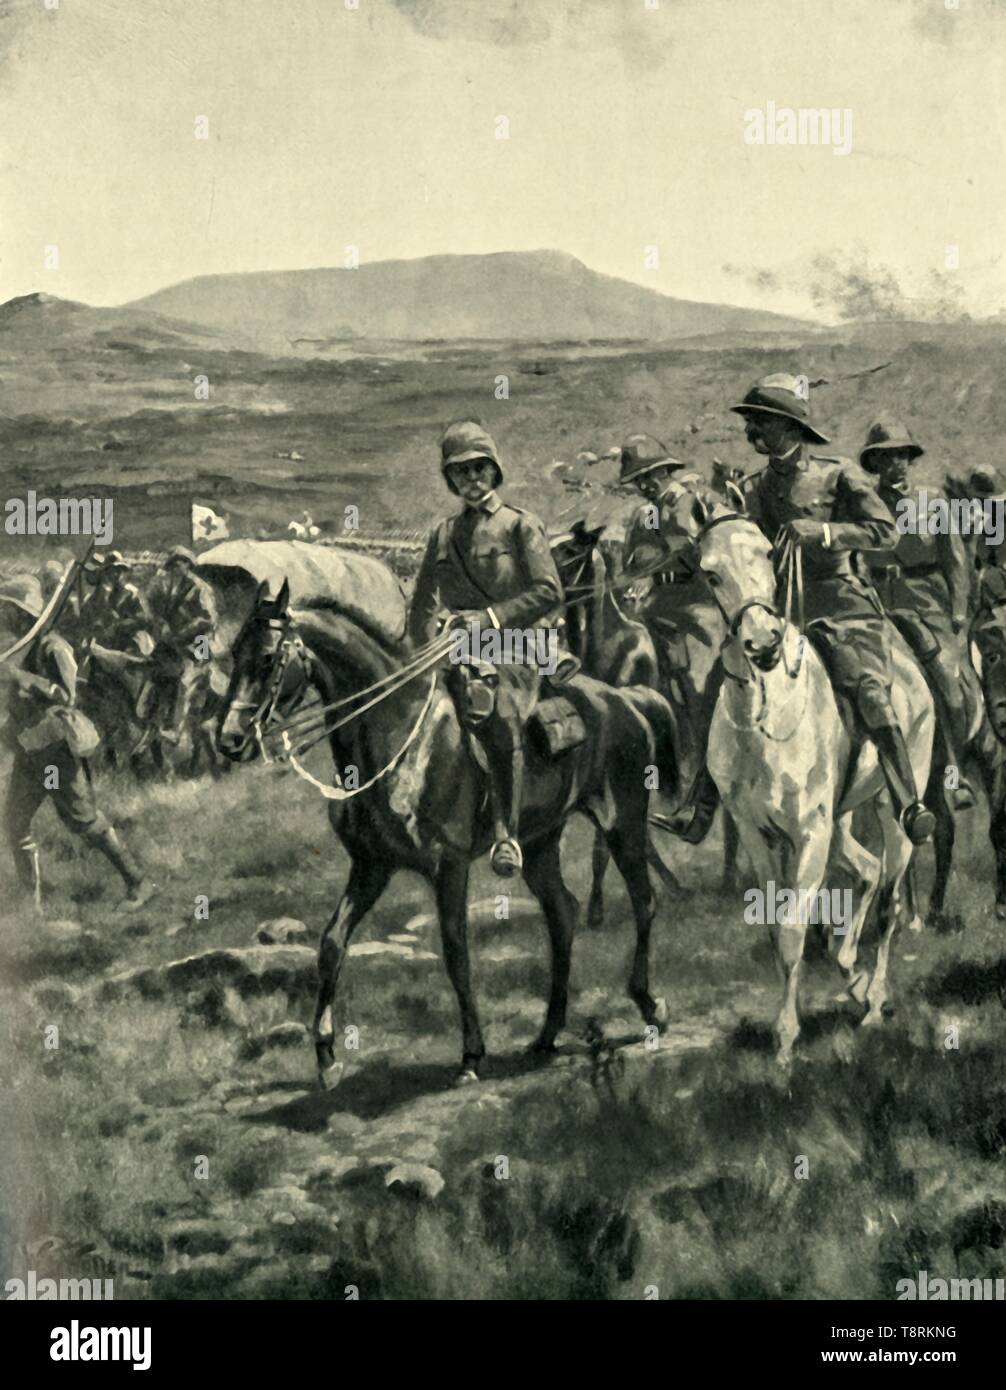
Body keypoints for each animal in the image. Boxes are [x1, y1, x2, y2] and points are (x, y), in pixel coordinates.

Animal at [216, 575, 680, 1084]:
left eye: (266, 658)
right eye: (234, 652)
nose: (229, 739)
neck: (398, 732)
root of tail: (628, 699)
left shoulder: (449, 865)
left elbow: (456, 951)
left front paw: (472, 1054)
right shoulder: (371, 867)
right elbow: (331, 944)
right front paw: (326, 1055)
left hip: (623, 822)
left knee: (645, 900)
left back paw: (650, 1005)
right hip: (540, 843)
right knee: (562, 912)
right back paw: (547, 1034)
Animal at [675, 494, 933, 1056]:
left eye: (770, 555)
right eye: (710, 573)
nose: (763, 643)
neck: (766, 719)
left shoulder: (810, 833)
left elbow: (794, 929)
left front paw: (786, 1040)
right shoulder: (760, 835)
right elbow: (776, 926)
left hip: (890, 809)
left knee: (889, 898)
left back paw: (874, 1001)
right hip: (839, 823)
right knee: (867, 872)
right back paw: (853, 977)